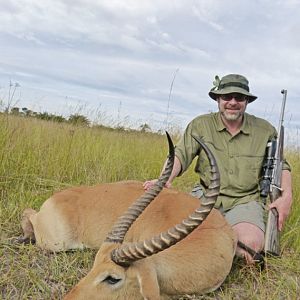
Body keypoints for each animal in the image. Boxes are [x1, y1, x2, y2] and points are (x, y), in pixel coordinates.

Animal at [21, 134, 237, 300]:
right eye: (94, 264)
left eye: (112, 278)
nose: (68, 298)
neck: (212, 233)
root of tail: (56, 197)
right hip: (57, 242)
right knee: (27, 212)